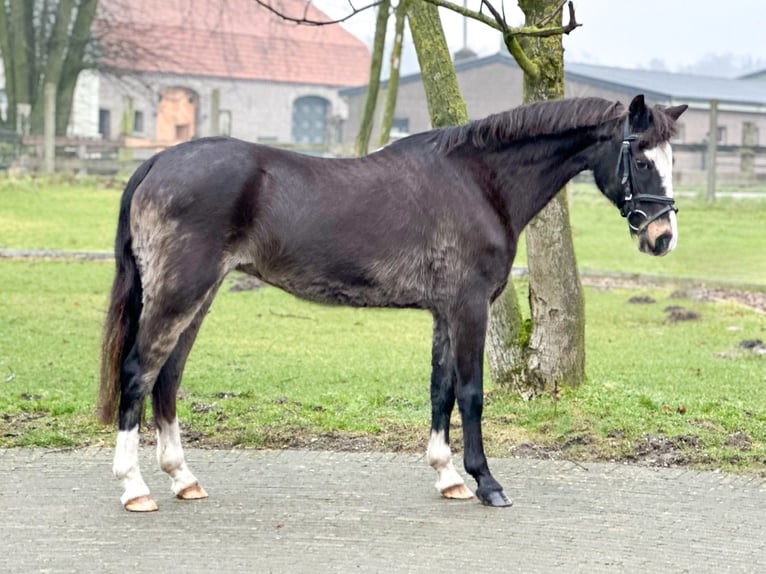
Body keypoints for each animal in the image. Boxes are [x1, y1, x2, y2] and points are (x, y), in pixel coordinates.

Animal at [97, 94, 688, 512]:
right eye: (640, 158)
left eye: (671, 157)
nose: (662, 237)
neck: (479, 182)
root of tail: (156, 164)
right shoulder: (470, 308)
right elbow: (471, 394)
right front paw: (487, 483)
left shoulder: (446, 312)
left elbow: (440, 391)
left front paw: (448, 477)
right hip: (179, 293)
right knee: (138, 372)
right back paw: (134, 487)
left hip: (198, 296)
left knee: (168, 377)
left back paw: (183, 479)